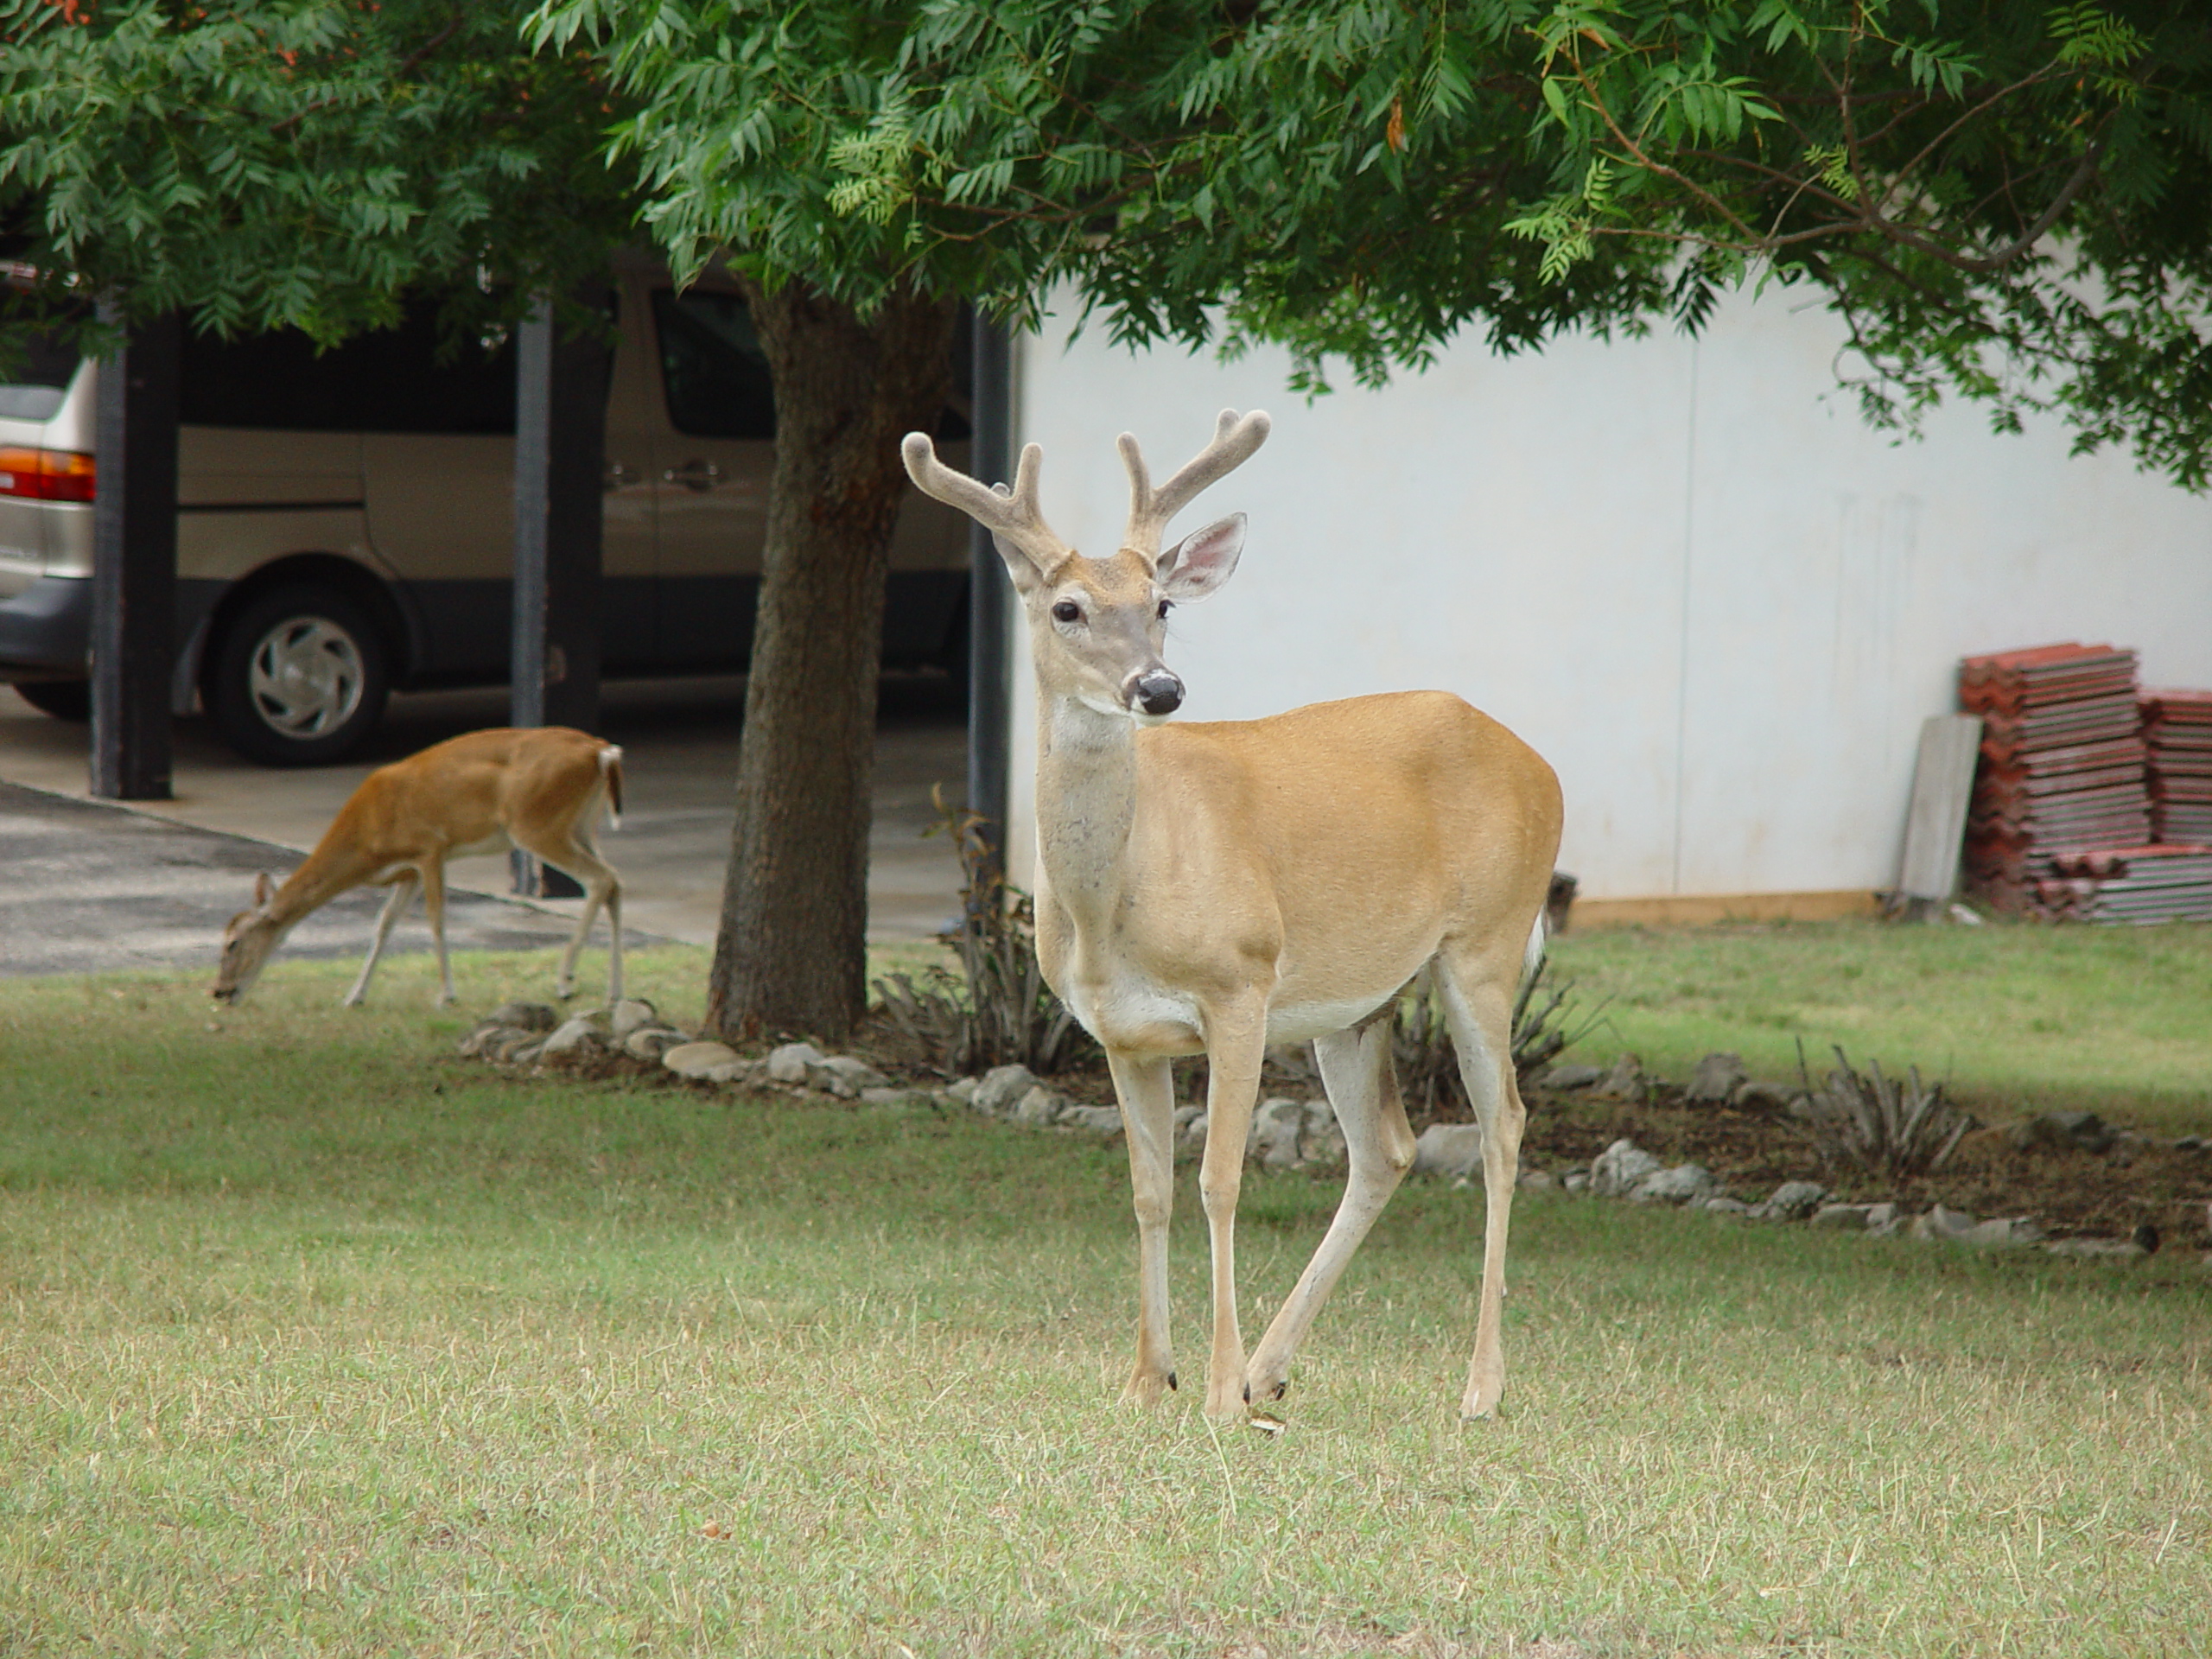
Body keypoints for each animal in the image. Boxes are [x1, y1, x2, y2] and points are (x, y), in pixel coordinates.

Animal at [211, 729, 628, 1013]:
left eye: (233, 943)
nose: (219, 991)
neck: (366, 842)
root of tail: (601, 751)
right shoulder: (406, 872)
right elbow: (383, 924)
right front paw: (355, 996)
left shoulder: (430, 847)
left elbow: (435, 918)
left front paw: (446, 995)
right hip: (582, 824)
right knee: (615, 880)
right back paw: (614, 992)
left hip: (535, 822)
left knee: (599, 879)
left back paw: (566, 981)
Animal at [893, 416, 1557, 1433]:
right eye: (1068, 609)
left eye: (1162, 601)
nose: (1159, 688)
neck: (1112, 908)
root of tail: (1544, 767)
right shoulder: (1122, 1035)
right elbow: (1148, 1191)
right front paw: (1146, 1378)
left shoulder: (1240, 983)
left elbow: (1219, 1180)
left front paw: (1212, 1389)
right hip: (1356, 1005)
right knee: (1388, 1149)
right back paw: (1273, 1369)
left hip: (1484, 944)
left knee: (1502, 1128)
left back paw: (1479, 1387)